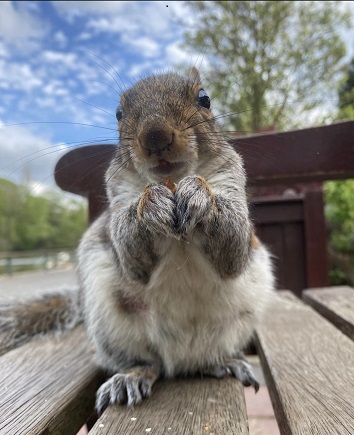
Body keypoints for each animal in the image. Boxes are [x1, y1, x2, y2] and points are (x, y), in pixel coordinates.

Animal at [0, 68, 274, 416]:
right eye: (119, 113)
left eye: (205, 99)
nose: (155, 136)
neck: (172, 180)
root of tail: (182, 360)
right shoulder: (119, 193)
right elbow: (130, 252)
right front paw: (151, 204)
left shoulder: (231, 180)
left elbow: (234, 248)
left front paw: (199, 194)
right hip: (112, 328)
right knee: (149, 363)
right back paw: (131, 376)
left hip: (238, 323)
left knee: (204, 359)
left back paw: (223, 362)